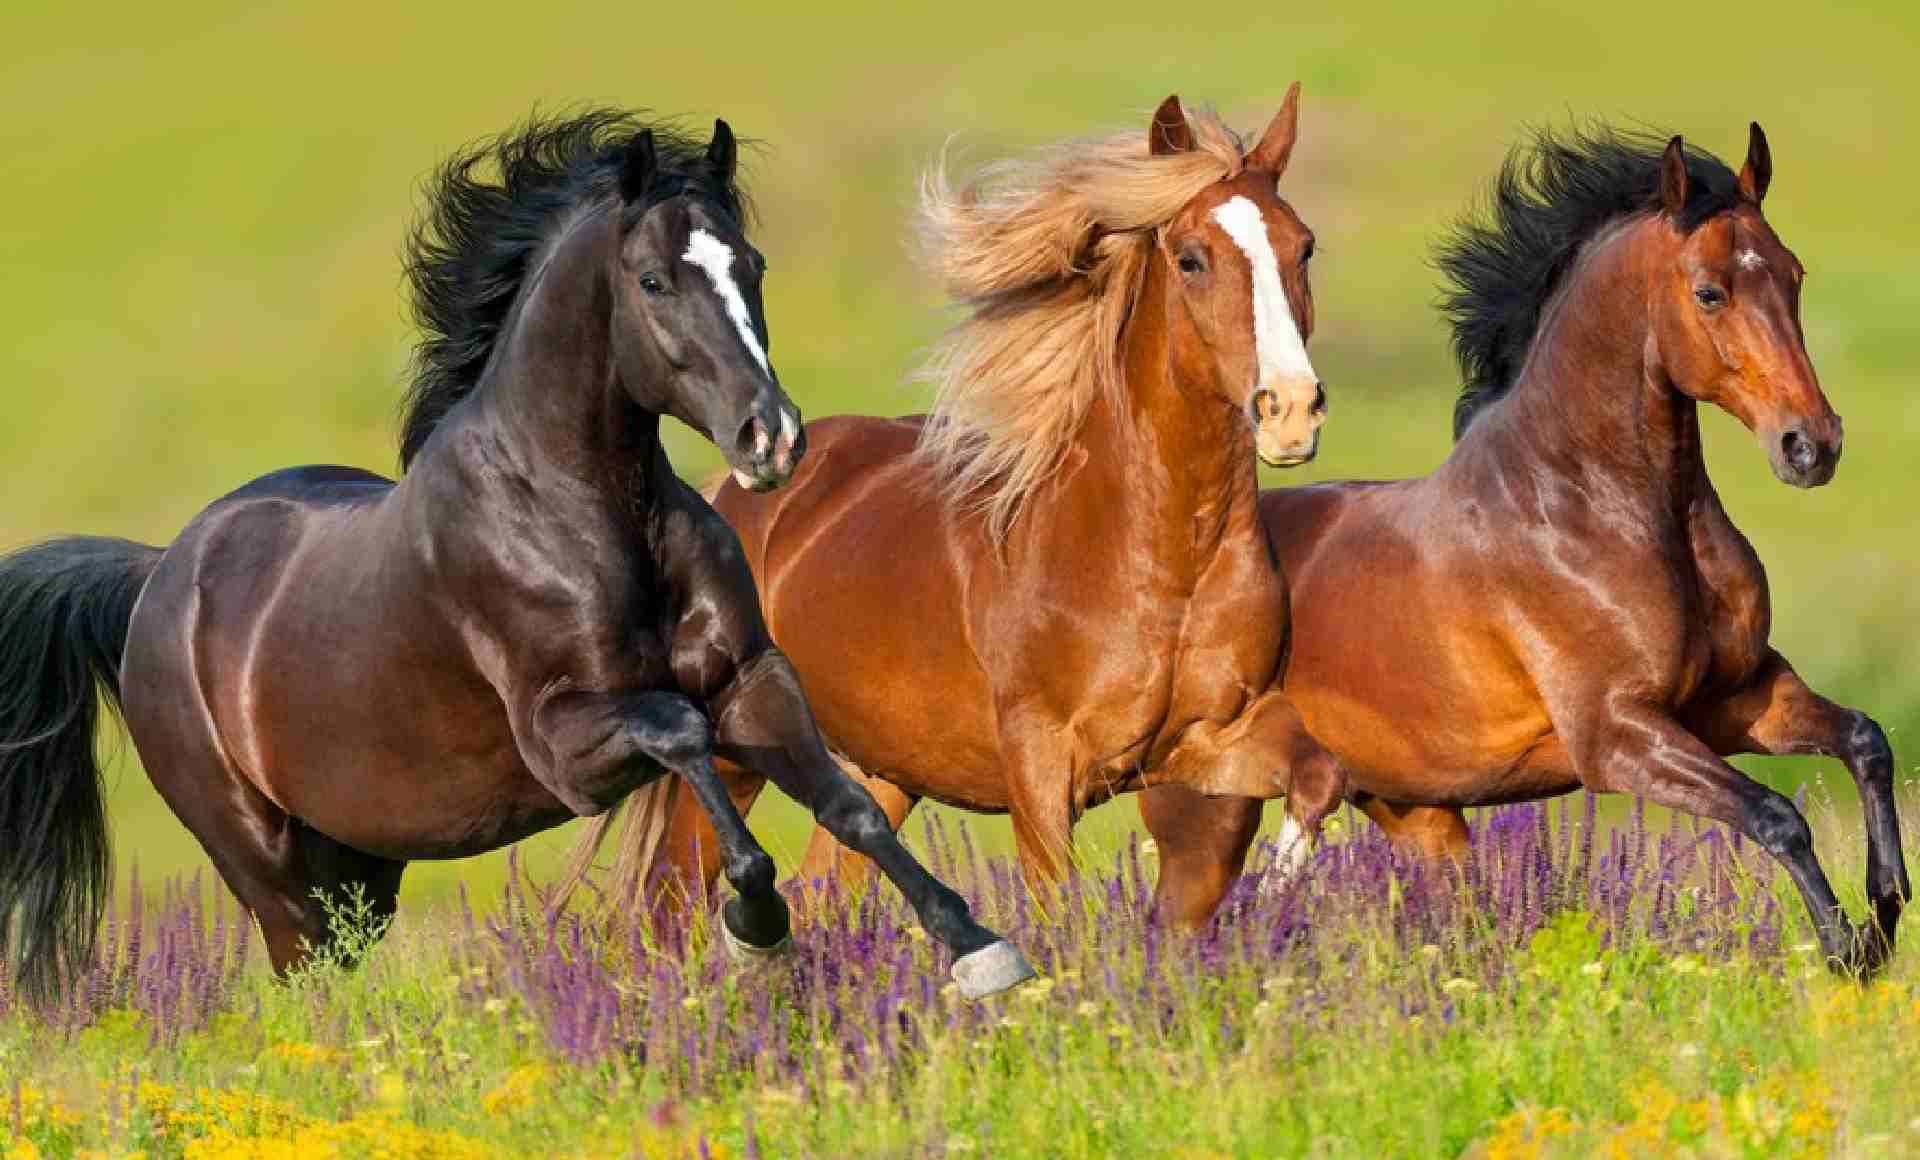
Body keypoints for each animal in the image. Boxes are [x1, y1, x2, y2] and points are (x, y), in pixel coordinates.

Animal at [0, 110, 1034, 1006]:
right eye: (653, 281)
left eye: (754, 264)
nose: (771, 439)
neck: (584, 515)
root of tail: (156, 579)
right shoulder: (565, 747)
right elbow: (683, 734)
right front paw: (757, 925)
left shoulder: (751, 678)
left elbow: (848, 804)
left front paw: (980, 951)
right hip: (267, 866)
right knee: (308, 981)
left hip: (359, 867)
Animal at [583, 89, 1347, 909]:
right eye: (1192, 258)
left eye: (1303, 248)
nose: (1291, 409)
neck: (1160, 557)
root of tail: (725, 494)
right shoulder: (1042, 769)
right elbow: (1056, 906)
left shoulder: (1210, 737)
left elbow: (1318, 775)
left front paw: (1271, 897)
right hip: (731, 761)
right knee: (673, 904)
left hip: (876, 772)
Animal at [1135, 122, 1907, 976]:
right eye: (1710, 292)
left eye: (1793, 274)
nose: (1812, 445)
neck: (1589, 507)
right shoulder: (1617, 736)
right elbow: (1776, 815)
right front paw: (1848, 950)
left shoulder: (1737, 698)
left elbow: (1865, 741)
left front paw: (1886, 909)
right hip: (1209, 814)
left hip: (1419, 815)